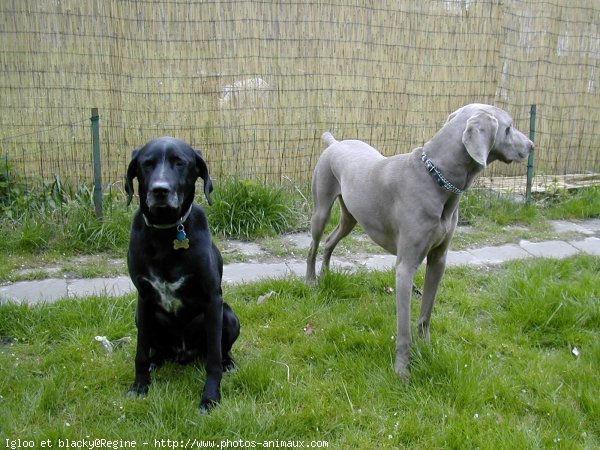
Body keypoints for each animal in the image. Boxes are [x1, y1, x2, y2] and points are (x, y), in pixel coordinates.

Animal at [124, 136, 239, 412]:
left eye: (180, 162)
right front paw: (140, 386)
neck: (166, 233)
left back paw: (229, 363)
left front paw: (210, 397)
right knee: (157, 349)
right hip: (142, 318)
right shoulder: (143, 299)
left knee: (219, 351)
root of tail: (183, 354)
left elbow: (213, 359)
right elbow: (140, 351)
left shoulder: (213, 300)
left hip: (229, 315)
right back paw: (157, 361)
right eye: (147, 163)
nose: (160, 190)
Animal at [308, 103, 532, 378]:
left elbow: (426, 311)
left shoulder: (439, 259)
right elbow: (403, 329)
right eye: (509, 127)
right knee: (314, 245)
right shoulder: (405, 267)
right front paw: (402, 371)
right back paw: (311, 280)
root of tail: (335, 142)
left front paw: (427, 348)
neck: (437, 178)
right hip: (321, 206)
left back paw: (326, 273)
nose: (532, 145)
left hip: (351, 216)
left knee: (330, 240)